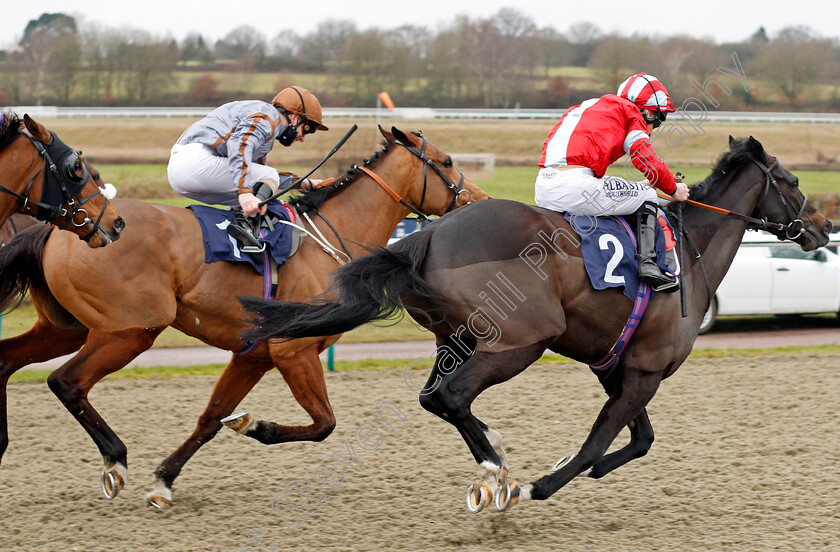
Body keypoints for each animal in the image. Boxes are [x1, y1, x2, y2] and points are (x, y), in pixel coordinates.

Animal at [0, 127, 488, 506]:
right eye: (446, 161)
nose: (479, 200)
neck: (327, 238)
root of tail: (62, 227)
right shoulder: (293, 351)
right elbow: (324, 424)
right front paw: (257, 426)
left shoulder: (253, 356)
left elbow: (210, 419)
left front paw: (164, 481)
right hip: (131, 330)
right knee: (67, 381)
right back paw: (115, 459)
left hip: (66, 327)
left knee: (8, 361)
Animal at [241, 137, 832, 512]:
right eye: (793, 180)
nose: (823, 226)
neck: (690, 253)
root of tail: (426, 236)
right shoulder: (643, 372)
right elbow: (599, 445)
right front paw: (539, 485)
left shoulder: (618, 368)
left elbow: (640, 440)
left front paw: (575, 467)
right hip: (520, 341)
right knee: (452, 397)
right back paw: (497, 473)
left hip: (457, 340)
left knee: (436, 398)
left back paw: (494, 461)